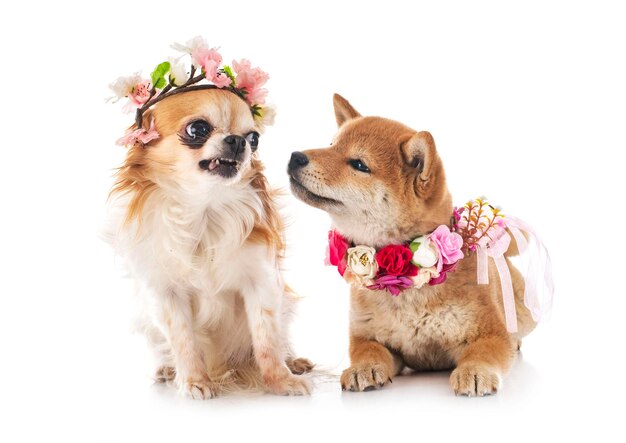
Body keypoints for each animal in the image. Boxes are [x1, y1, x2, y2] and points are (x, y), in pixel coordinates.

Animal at [109, 89, 312, 398]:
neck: (205, 210)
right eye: (198, 129)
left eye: (254, 138)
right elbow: (183, 340)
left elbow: (267, 338)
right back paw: (168, 369)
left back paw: (294, 361)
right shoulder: (166, 293)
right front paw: (194, 380)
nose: (238, 141)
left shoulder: (262, 282)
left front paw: (280, 379)